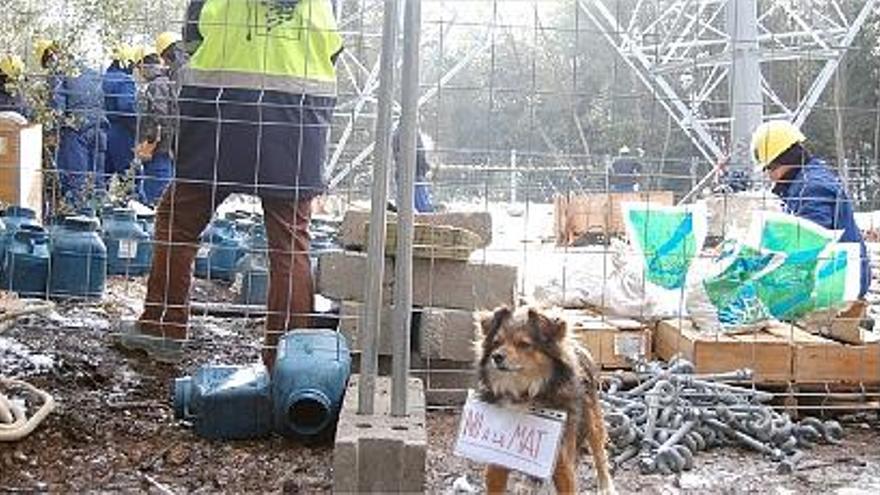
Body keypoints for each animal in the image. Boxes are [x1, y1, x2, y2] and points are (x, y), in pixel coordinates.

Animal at [478, 306, 616, 495]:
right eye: (496, 342)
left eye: (524, 344)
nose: (496, 356)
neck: (524, 393)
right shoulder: (495, 462)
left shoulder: (563, 464)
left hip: (592, 420)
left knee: (599, 453)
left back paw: (606, 485)